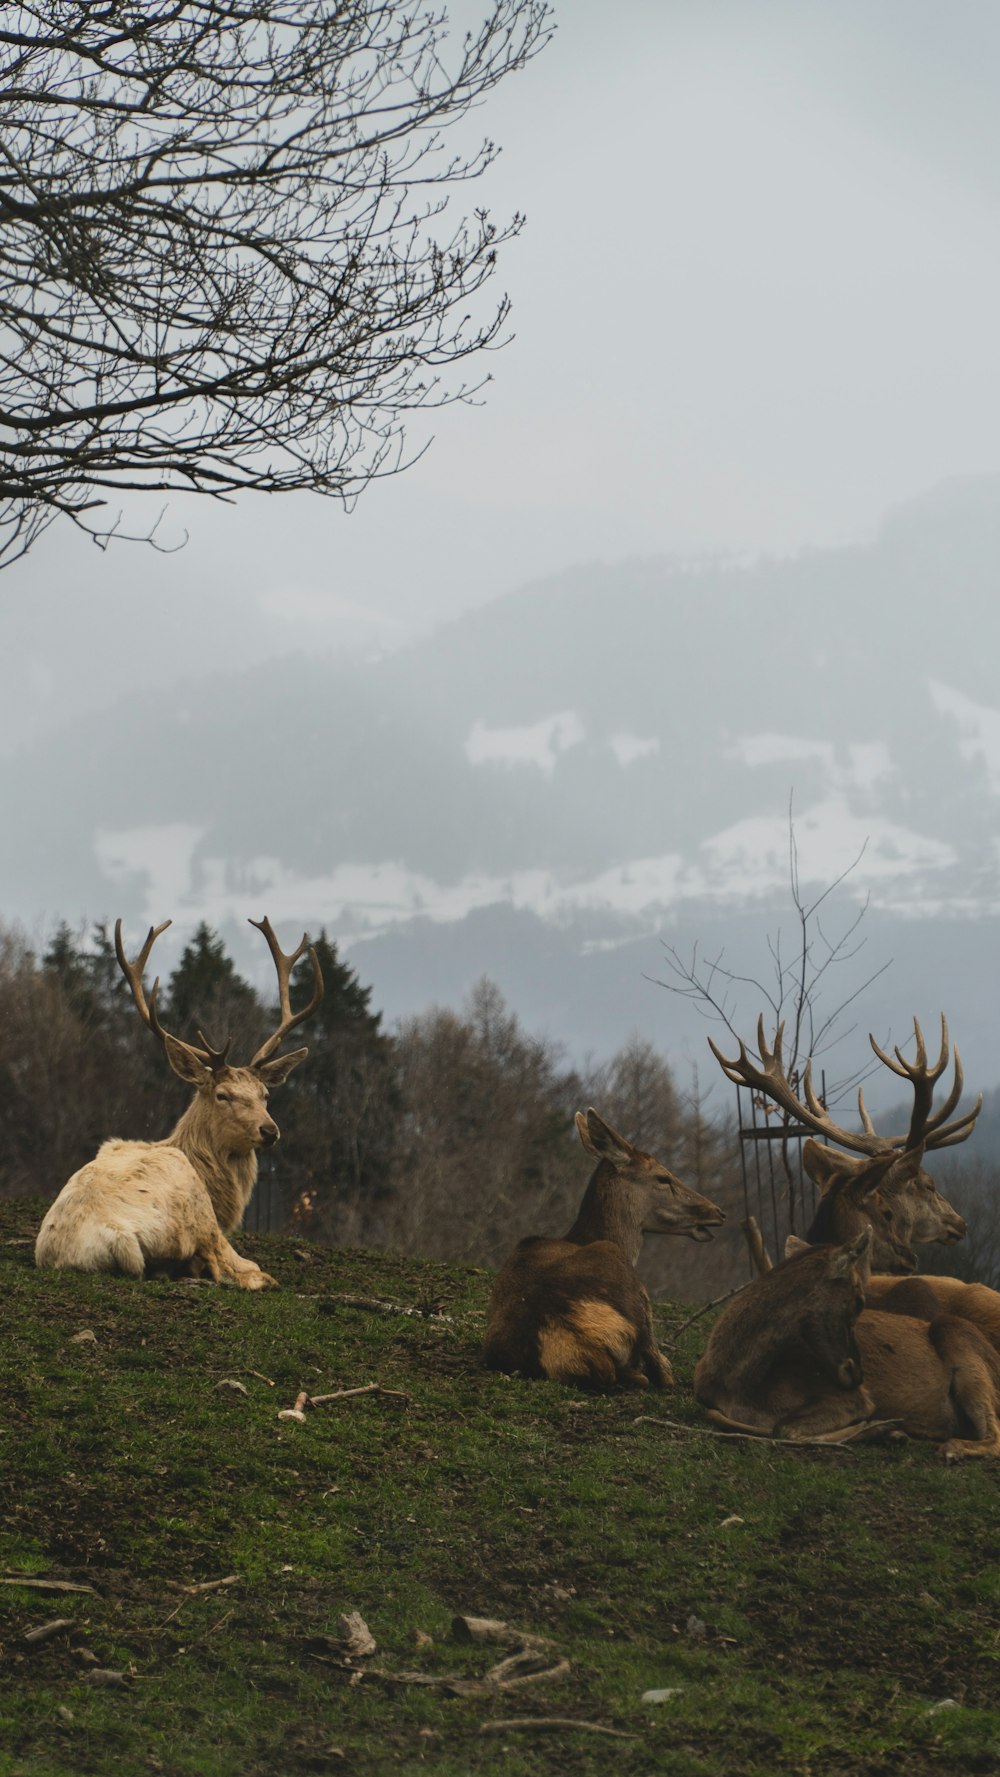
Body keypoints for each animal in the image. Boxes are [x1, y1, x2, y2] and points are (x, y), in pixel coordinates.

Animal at [35, 916, 323, 1293]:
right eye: (222, 1095)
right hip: (195, 1217)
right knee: (225, 1266)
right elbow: (248, 1267)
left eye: (265, 1094)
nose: (269, 1130)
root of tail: (115, 1238)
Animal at [696, 1229, 1000, 1464]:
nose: (856, 1374)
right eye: (858, 1300)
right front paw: (888, 1432)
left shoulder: (852, 1398)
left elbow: (784, 1429)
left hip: (958, 1337)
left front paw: (881, 1429)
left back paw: (950, 1447)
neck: (736, 1381)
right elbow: (719, 1415)